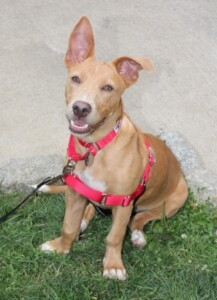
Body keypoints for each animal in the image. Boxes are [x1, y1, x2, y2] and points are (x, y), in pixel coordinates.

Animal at [39, 17, 188, 282]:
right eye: (75, 79)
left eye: (108, 88)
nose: (80, 108)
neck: (95, 148)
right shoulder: (75, 192)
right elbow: (68, 226)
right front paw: (61, 247)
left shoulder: (124, 202)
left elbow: (115, 236)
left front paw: (113, 266)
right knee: (91, 209)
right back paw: (84, 221)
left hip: (175, 200)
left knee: (140, 219)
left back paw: (137, 236)